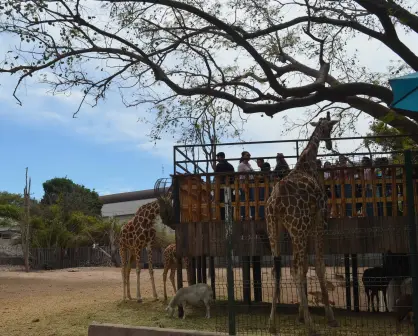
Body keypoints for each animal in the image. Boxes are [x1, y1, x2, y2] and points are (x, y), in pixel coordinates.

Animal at [266, 113, 342, 336]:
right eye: (329, 128)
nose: (329, 143)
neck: (307, 163)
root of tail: (276, 201)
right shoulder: (320, 218)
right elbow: (318, 265)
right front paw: (329, 317)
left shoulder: (302, 228)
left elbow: (305, 266)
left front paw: (300, 313)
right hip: (298, 229)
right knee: (295, 269)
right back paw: (311, 325)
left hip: (274, 229)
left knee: (279, 269)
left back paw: (272, 323)